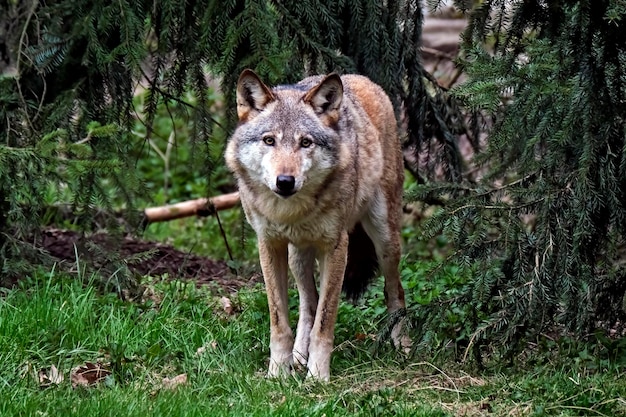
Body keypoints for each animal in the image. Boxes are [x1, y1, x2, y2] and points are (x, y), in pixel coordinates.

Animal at [224, 69, 404, 380]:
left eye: (305, 142)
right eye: (269, 141)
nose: (285, 181)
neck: (290, 212)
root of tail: (358, 77)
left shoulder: (336, 247)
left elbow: (325, 320)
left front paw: (318, 376)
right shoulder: (268, 245)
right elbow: (280, 322)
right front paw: (277, 374)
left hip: (385, 240)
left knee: (395, 291)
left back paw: (402, 346)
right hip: (297, 256)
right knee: (309, 302)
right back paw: (298, 356)